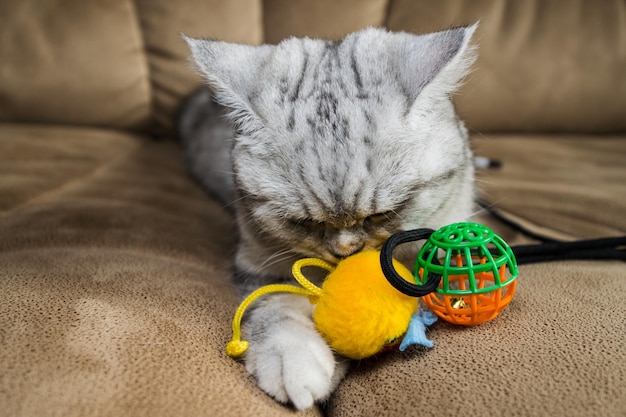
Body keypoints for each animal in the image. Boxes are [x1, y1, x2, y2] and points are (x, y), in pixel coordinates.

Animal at [178, 24, 476, 408]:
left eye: (383, 215)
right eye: (306, 223)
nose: (345, 251)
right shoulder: (260, 269)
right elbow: (275, 308)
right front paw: (295, 362)